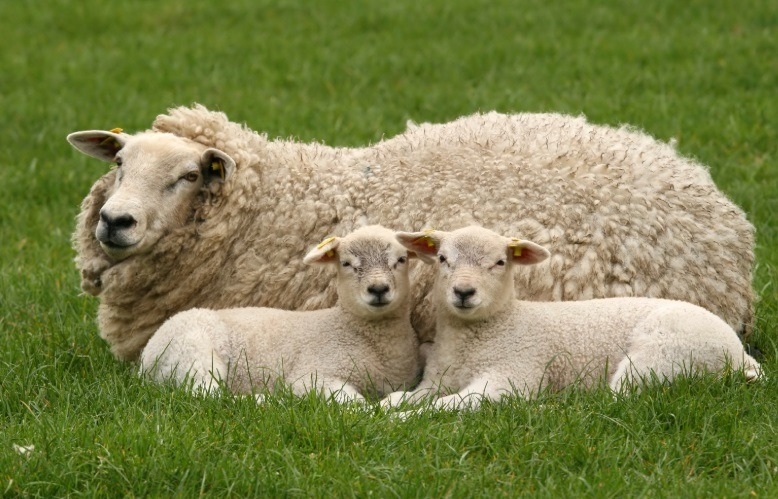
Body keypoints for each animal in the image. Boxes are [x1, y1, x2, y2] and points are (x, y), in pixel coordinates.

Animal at [139, 225, 420, 401]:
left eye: (401, 260)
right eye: (346, 263)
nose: (378, 289)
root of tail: (145, 360)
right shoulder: (314, 375)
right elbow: (357, 404)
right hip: (191, 352)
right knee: (206, 395)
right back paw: (266, 400)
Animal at [381, 226, 762, 411]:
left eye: (500, 262)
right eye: (443, 259)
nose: (463, 292)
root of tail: (738, 353)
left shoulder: (511, 378)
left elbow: (447, 406)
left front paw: (403, 421)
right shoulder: (435, 381)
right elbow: (400, 397)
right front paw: (380, 411)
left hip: (663, 354)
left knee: (618, 400)